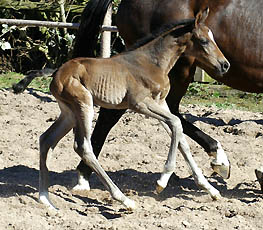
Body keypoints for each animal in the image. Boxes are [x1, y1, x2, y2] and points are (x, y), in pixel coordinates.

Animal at [39, 8, 231, 210]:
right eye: (203, 40)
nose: (225, 65)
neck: (153, 62)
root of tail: (56, 75)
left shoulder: (161, 103)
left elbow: (179, 136)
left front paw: (211, 189)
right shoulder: (139, 104)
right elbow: (177, 123)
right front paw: (162, 181)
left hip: (69, 113)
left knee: (46, 139)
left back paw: (45, 199)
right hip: (84, 105)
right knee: (83, 147)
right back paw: (124, 199)